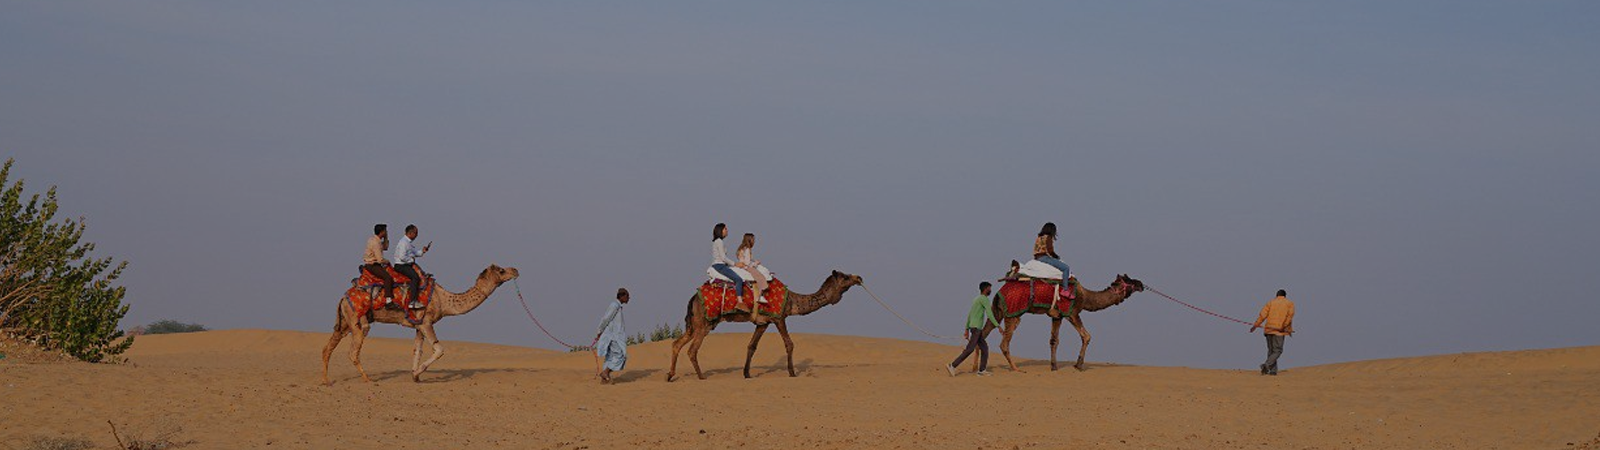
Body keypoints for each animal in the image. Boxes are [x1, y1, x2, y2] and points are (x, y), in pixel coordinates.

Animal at [312, 262, 512, 385]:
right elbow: (439, 349)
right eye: (501, 270)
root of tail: (343, 297)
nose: (515, 270)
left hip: (344, 321)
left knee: (327, 348)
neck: (444, 300)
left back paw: (325, 380)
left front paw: (415, 376)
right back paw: (367, 379)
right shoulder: (426, 322)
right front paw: (417, 374)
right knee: (353, 351)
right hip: (355, 319)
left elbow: (417, 349)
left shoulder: (418, 325)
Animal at [665, 267, 864, 379]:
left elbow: (751, 346)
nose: (859, 278)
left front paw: (747, 374)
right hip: (704, 323)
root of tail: (693, 298)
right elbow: (789, 344)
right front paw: (792, 373)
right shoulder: (779, 317)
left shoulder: (763, 323)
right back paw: (701, 377)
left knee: (677, 344)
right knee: (692, 349)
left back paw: (670, 375)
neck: (792, 301)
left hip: (694, 323)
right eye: (846, 277)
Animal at [966, 273, 1145, 371]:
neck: (1085, 296)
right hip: (1013, 313)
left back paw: (975, 368)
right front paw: (1078, 365)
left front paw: (1054, 367)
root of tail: (998, 293)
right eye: (1129, 281)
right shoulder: (1072, 313)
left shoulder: (1057, 316)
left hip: (997, 311)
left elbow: (1053, 340)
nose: (1141, 284)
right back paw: (1015, 369)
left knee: (983, 334)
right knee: (1004, 343)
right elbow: (1086, 336)